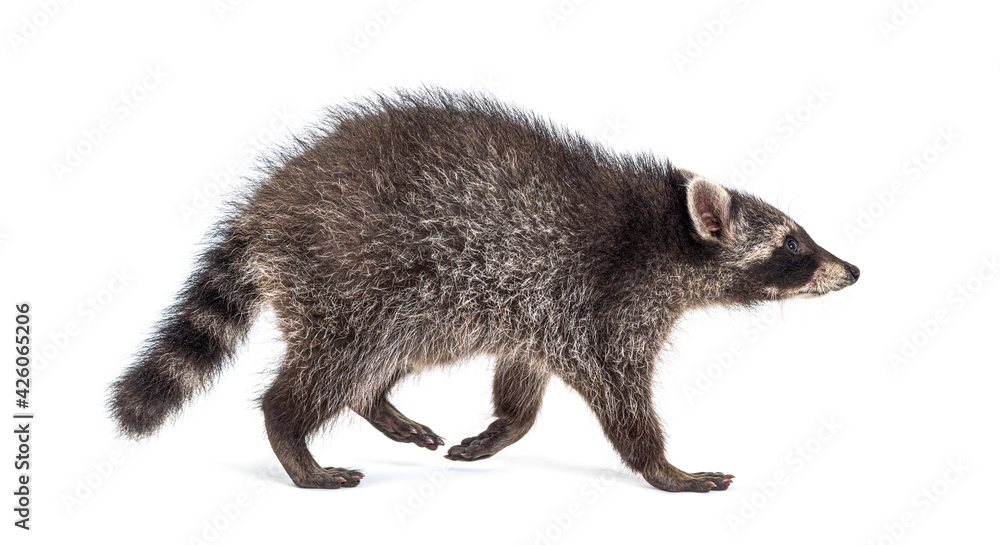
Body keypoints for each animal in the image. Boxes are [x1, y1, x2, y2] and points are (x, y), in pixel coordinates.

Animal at [108, 89, 859, 492]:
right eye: (793, 246)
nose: (852, 270)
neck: (668, 231)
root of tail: (267, 206)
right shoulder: (607, 304)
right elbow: (618, 394)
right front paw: (661, 465)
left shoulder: (545, 306)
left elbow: (523, 380)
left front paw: (506, 427)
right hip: (350, 278)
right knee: (335, 364)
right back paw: (293, 435)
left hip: (418, 304)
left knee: (385, 357)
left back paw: (377, 403)